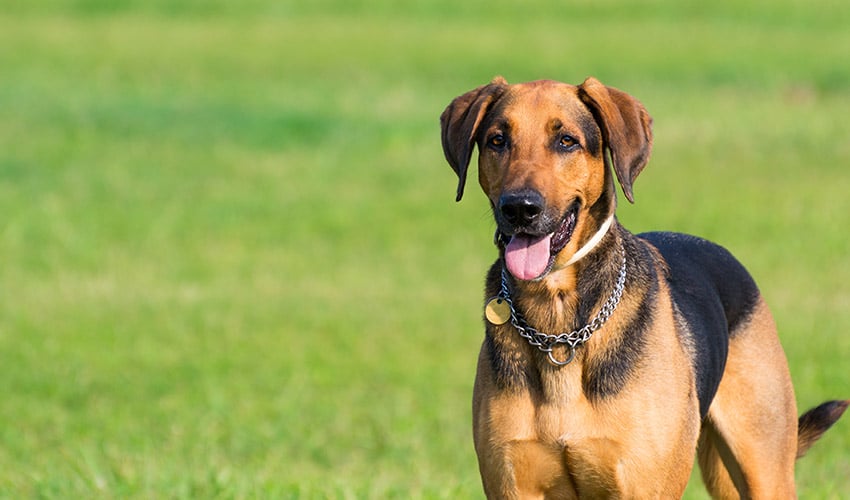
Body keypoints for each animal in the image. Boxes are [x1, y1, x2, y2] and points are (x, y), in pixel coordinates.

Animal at [440, 76, 844, 498]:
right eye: (497, 140)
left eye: (566, 141)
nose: (519, 208)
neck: (559, 324)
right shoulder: (512, 481)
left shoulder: (645, 483)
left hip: (763, 460)